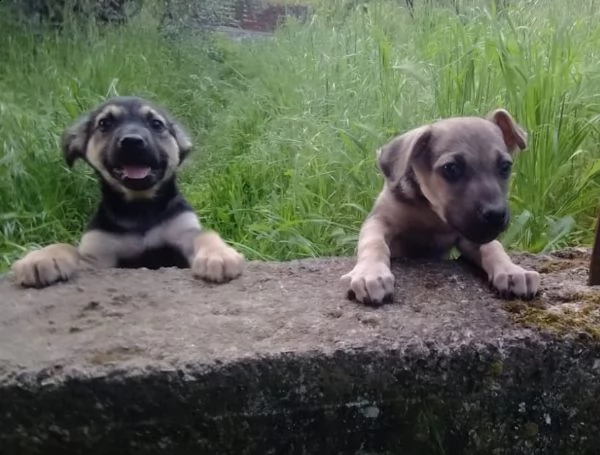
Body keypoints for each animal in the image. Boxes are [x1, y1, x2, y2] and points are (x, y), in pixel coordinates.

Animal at [10, 95, 244, 288]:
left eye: (156, 124)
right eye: (104, 123)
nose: (132, 141)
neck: (139, 208)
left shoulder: (182, 236)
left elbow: (205, 234)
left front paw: (219, 255)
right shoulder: (99, 259)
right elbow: (68, 246)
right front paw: (42, 257)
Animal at [340, 107, 540, 306]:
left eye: (505, 167)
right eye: (451, 168)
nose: (496, 215)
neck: (432, 213)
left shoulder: (469, 235)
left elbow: (493, 247)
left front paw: (512, 270)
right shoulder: (379, 220)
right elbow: (374, 243)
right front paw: (370, 273)